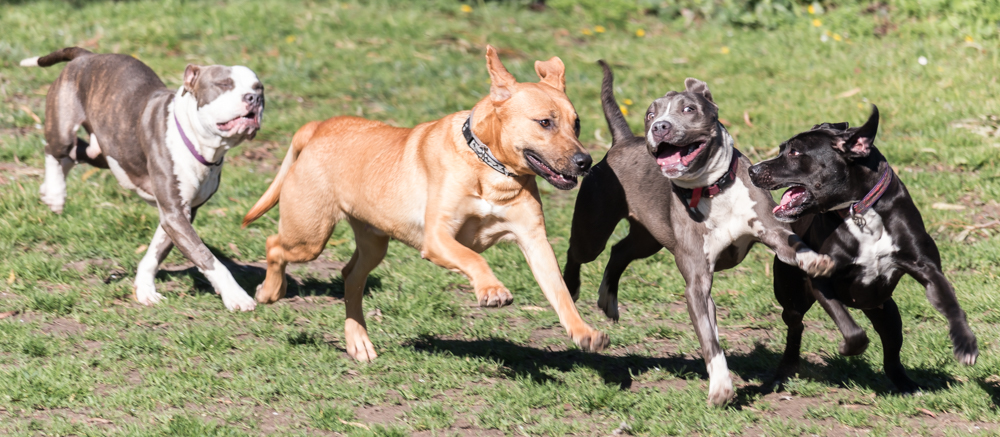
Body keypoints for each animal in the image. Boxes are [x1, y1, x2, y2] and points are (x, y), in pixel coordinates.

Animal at [21, 47, 264, 312]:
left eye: (259, 87)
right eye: (223, 84)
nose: (253, 98)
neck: (201, 144)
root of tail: (87, 55)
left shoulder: (180, 213)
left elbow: (156, 252)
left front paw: (145, 289)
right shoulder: (175, 214)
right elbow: (206, 256)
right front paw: (236, 295)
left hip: (106, 152)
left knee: (73, 155)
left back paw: (48, 190)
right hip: (64, 126)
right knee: (53, 150)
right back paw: (55, 193)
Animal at [242, 46, 608, 362]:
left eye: (577, 123)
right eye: (545, 122)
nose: (585, 162)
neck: (490, 169)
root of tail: (318, 127)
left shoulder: (534, 240)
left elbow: (560, 292)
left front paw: (585, 332)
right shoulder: (438, 238)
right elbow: (473, 258)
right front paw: (492, 290)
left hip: (373, 242)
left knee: (350, 276)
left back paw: (358, 342)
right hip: (309, 235)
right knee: (274, 245)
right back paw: (270, 292)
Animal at [564, 61, 836, 406]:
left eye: (689, 109)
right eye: (650, 114)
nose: (659, 127)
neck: (711, 188)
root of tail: (622, 142)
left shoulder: (772, 229)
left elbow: (793, 245)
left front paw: (815, 261)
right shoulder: (697, 283)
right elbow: (710, 340)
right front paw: (720, 386)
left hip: (647, 238)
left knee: (620, 251)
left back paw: (608, 300)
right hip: (594, 230)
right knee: (580, 252)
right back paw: (571, 287)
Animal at [752, 106, 976, 392]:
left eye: (794, 152)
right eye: (783, 149)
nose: (752, 169)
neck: (859, 209)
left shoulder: (928, 269)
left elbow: (950, 304)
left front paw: (965, 343)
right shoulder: (820, 278)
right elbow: (852, 330)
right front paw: (848, 348)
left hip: (888, 314)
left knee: (892, 355)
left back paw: (907, 385)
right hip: (792, 297)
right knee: (795, 329)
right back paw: (783, 373)